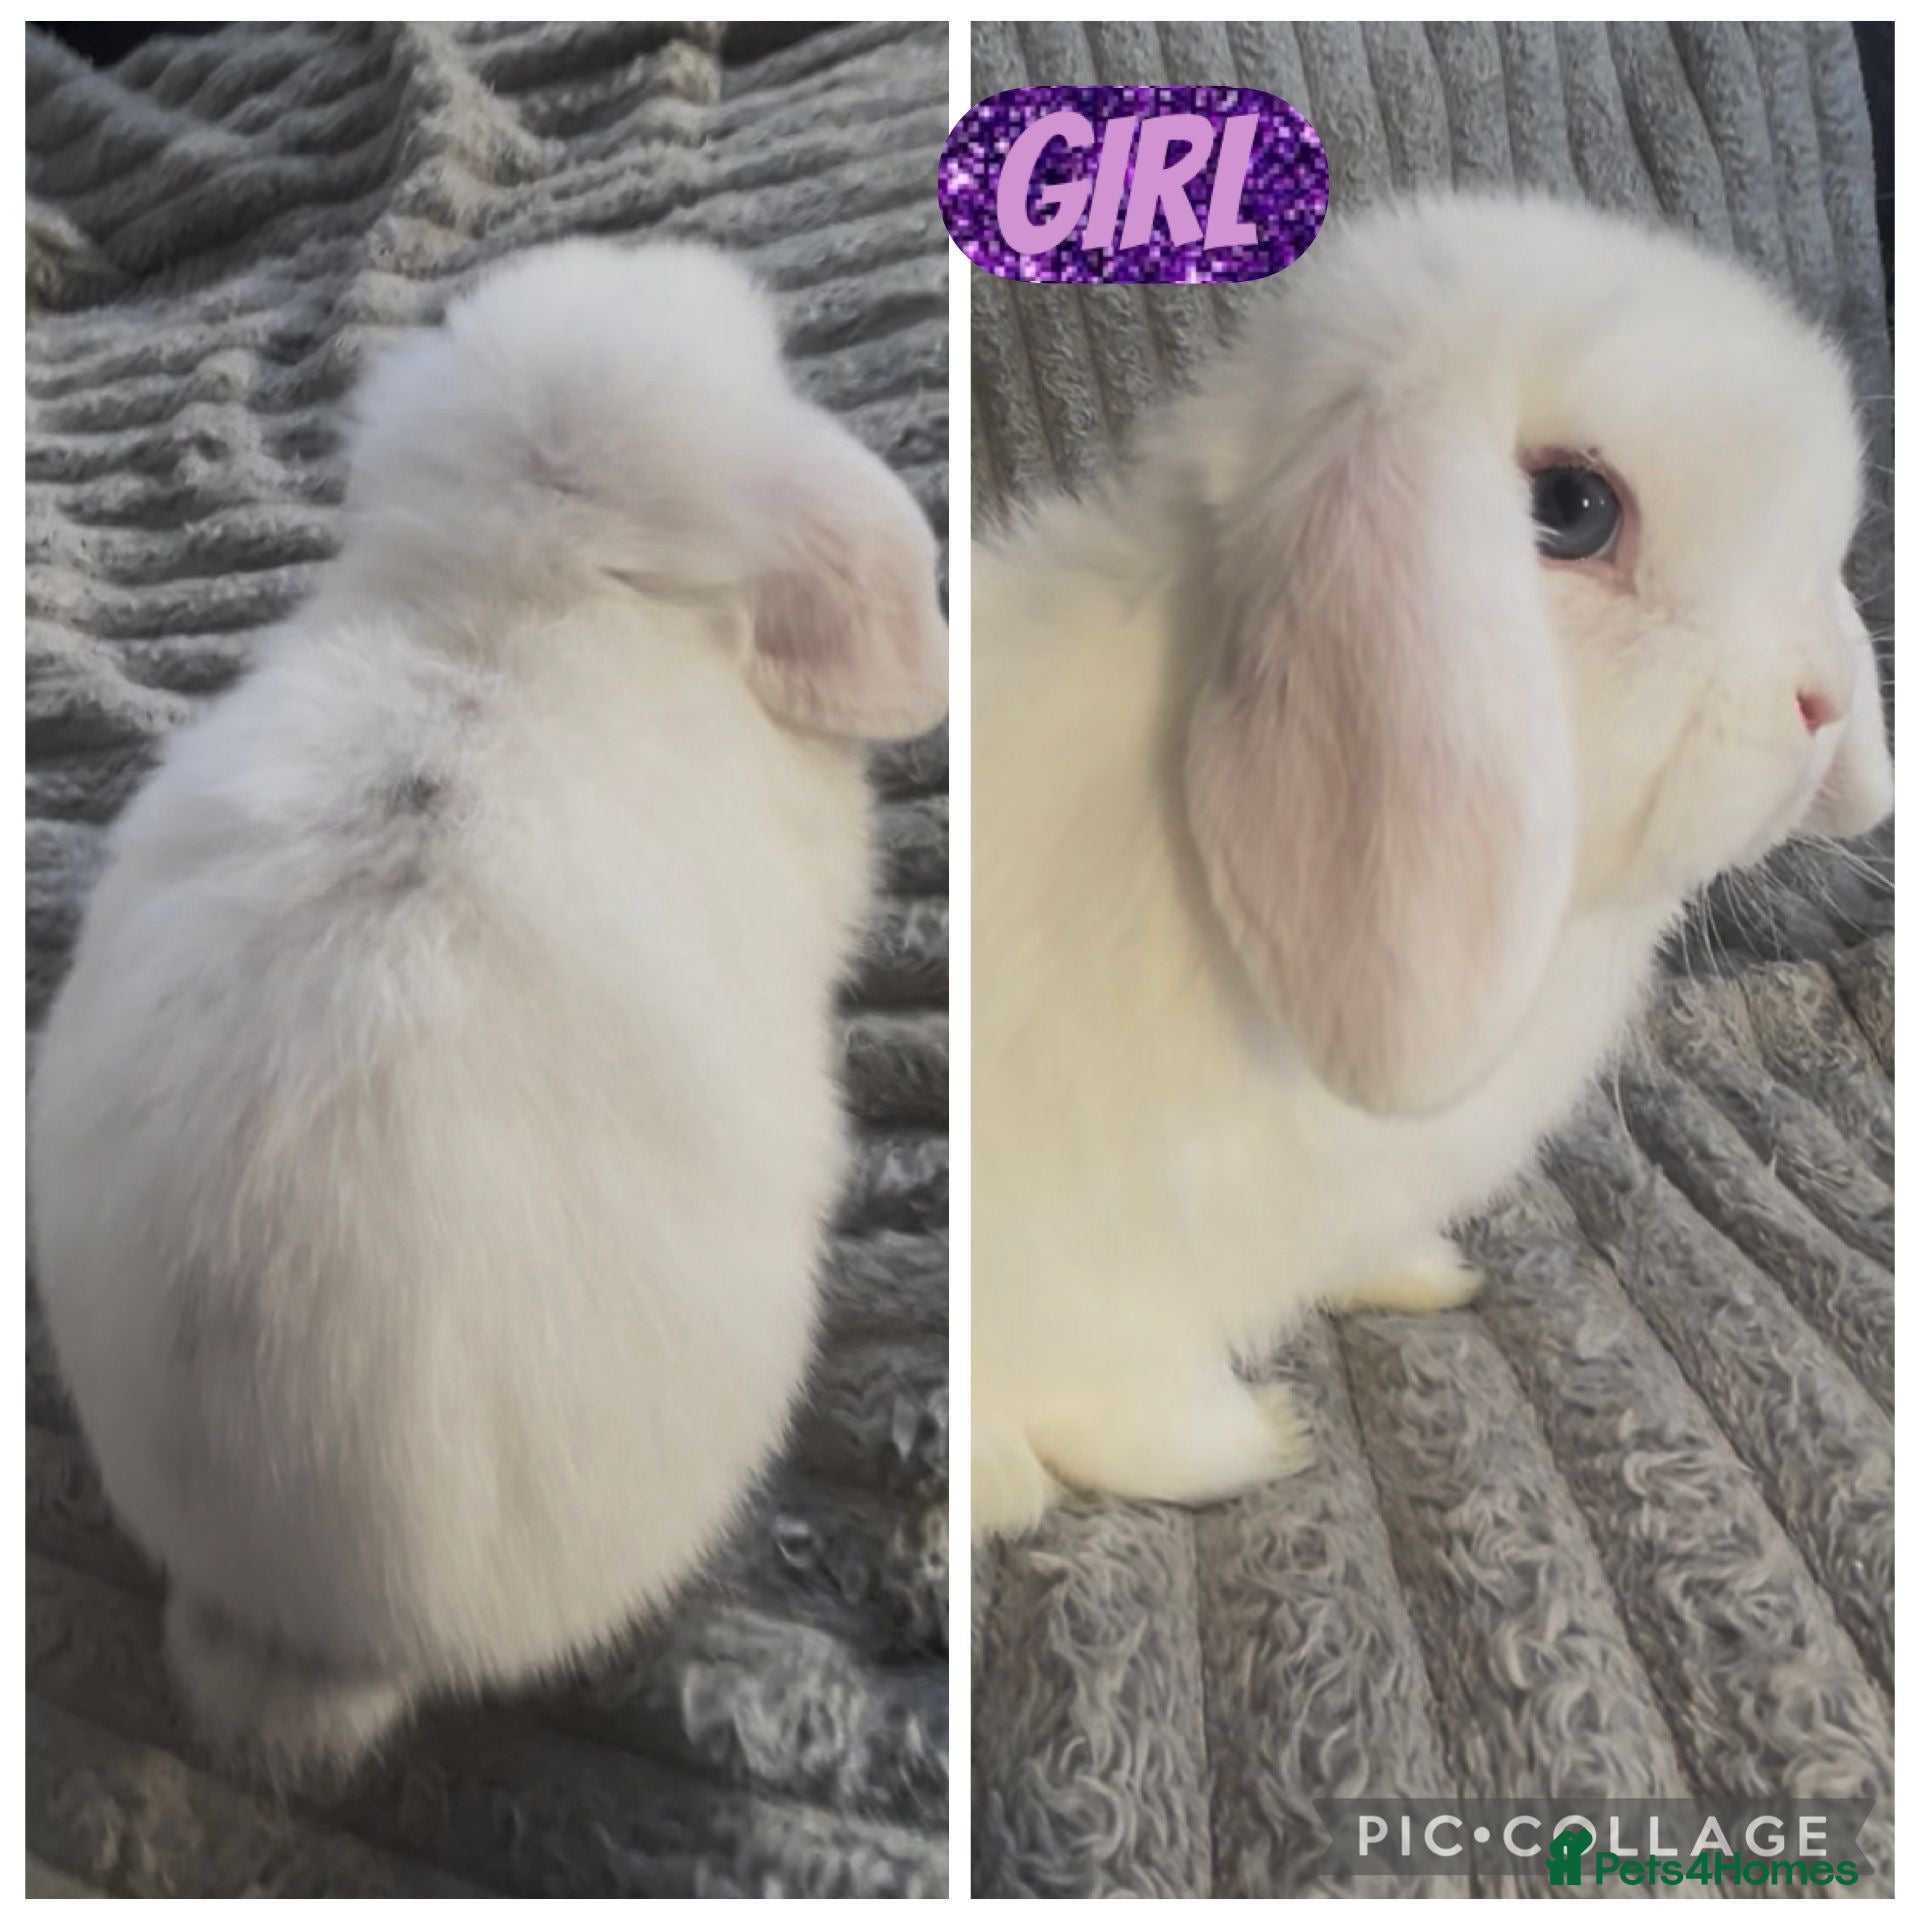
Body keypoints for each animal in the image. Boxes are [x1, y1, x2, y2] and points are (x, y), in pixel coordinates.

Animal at [972, 192, 1891, 1539]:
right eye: (1571, 509)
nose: (1819, 703)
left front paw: (1426, 1279)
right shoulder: (1092, 1279)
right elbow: (1148, 1409)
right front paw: (1268, 1441)